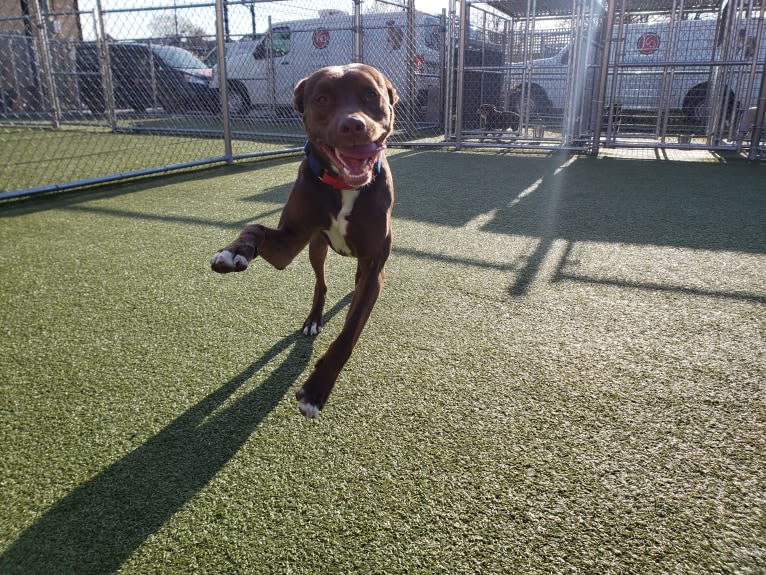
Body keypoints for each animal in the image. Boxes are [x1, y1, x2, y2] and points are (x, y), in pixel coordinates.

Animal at [213, 65, 400, 418]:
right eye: (322, 99)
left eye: (371, 94)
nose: (353, 125)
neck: (344, 186)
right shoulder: (288, 244)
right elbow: (254, 227)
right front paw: (233, 252)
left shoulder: (373, 266)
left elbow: (349, 331)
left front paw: (316, 389)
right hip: (316, 247)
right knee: (320, 283)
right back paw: (314, 319)